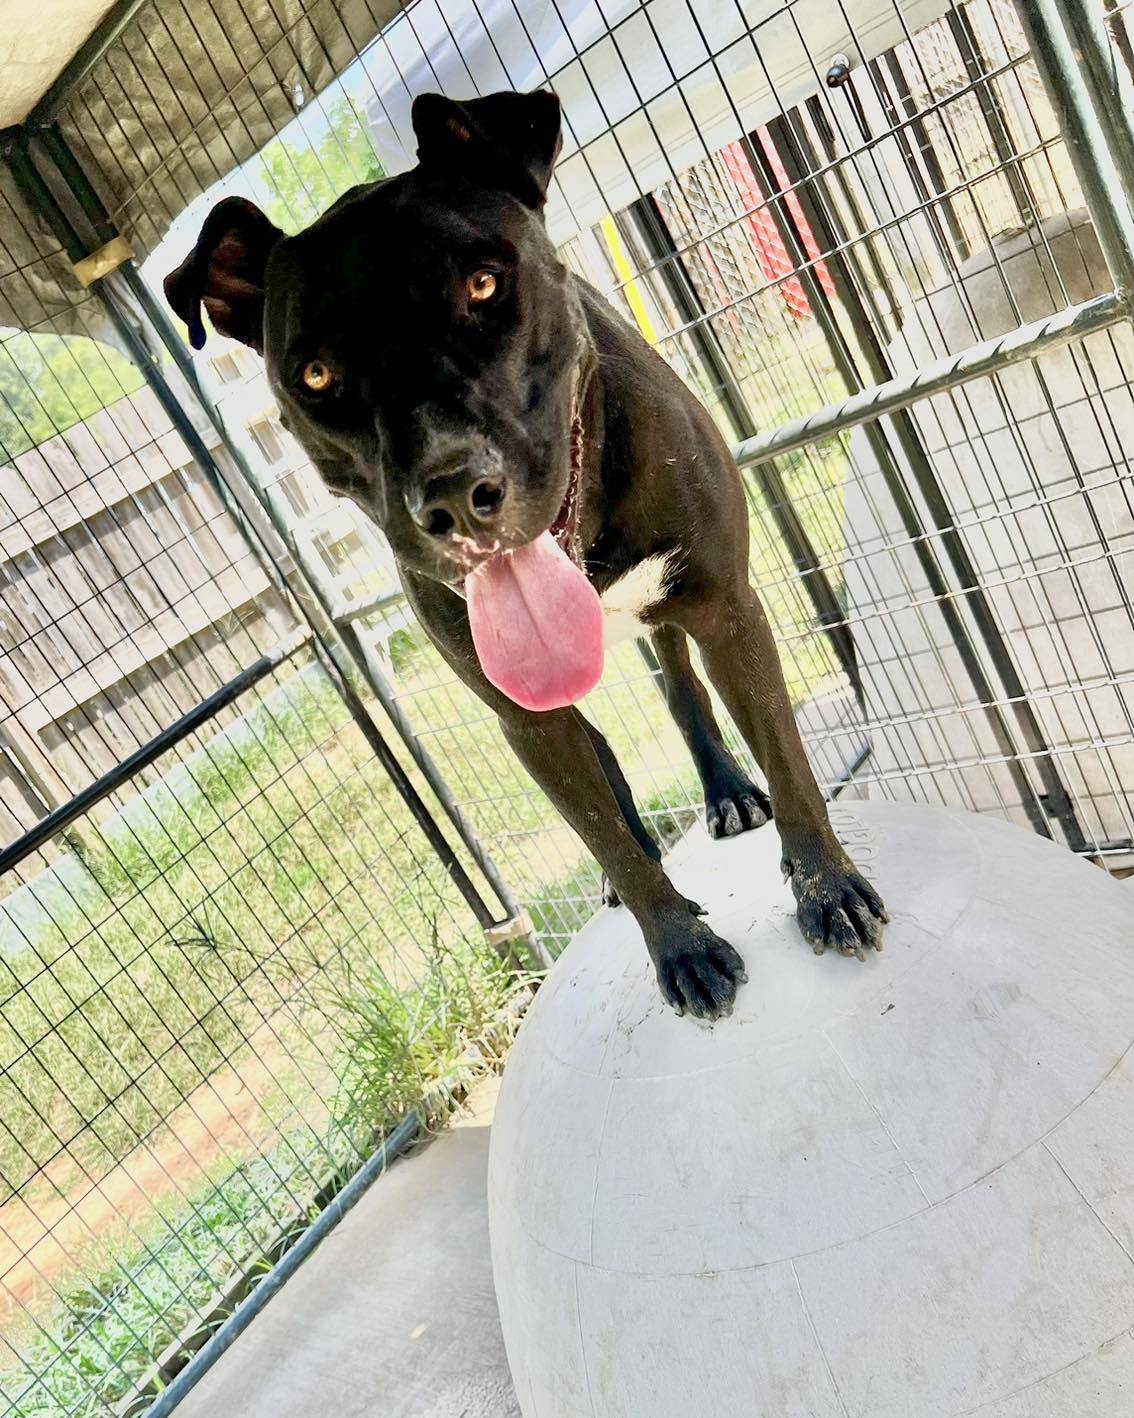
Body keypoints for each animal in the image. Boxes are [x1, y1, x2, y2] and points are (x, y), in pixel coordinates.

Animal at [165, 88, 884, 1020]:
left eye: (483, 283)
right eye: (314, 375)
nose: (447, 494)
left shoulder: (729, 610)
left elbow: (790, 764)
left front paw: (827, 886)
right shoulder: (523, 717)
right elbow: (605, 835)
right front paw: (677, 942)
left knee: (682, 685)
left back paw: (726, 791)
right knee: (607, 760)